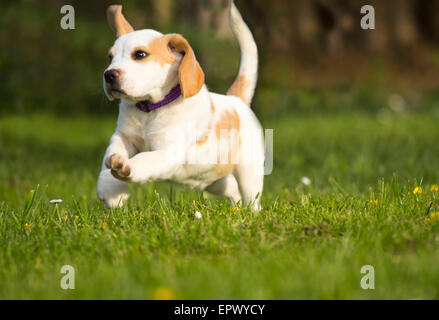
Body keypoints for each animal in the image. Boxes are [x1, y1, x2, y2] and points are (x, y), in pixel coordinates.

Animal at [97, 1, 264, 210]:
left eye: (140, 54)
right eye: (110, 57)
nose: (109, 75)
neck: (149, 110)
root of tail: (237, 100)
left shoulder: (168, 150)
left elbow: (146, 159)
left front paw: (129, 167)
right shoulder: (124, 137)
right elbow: (110, 154)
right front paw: (110, 190)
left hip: (249, 171)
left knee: (252, 198)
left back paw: (250, 213)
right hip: (214, 180)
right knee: (232, 190)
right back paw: (236, 210)